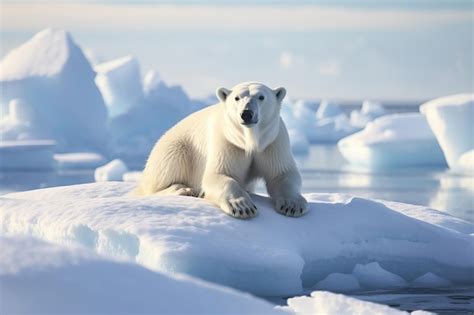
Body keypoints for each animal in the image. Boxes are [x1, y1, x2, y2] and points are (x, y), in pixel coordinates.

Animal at [135, 82, 310, 220]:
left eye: (261, 97)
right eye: (237, 98)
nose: (246, 113)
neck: (249, 140)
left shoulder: (273, 142)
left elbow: (282, 173)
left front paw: (292, 205)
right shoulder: (227, 141)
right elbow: (218, 174)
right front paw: (243, 207)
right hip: (174, 149)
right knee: (157, 180)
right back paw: (182, 189)